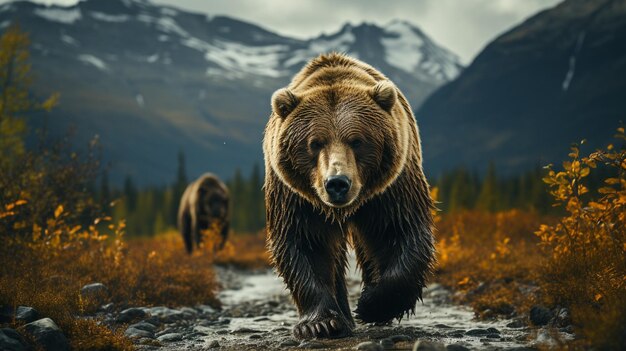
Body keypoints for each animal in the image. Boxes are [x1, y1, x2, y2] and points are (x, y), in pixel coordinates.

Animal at [262, 53, 434, 340]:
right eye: (315, 143)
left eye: (357, 140)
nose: (337, 183)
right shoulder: (298, 198)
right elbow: (307, 243)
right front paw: (320, 323)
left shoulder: (390, 189)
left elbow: (398, 230)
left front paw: (372, 304)